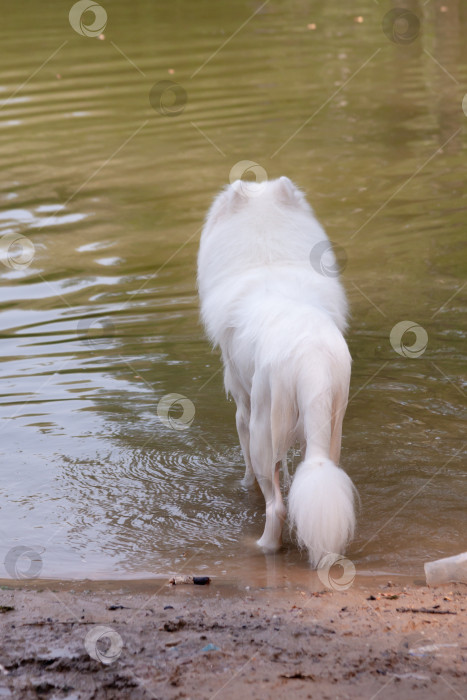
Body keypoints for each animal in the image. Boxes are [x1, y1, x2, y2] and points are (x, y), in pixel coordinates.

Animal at [197, 178, 354, 568]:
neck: (267, 255)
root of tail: (310, 357)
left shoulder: (242, 407)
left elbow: (249, 471)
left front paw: (243, 487)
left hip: (262, 429)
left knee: (276, 506)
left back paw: (262, 546)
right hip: (331, 426)